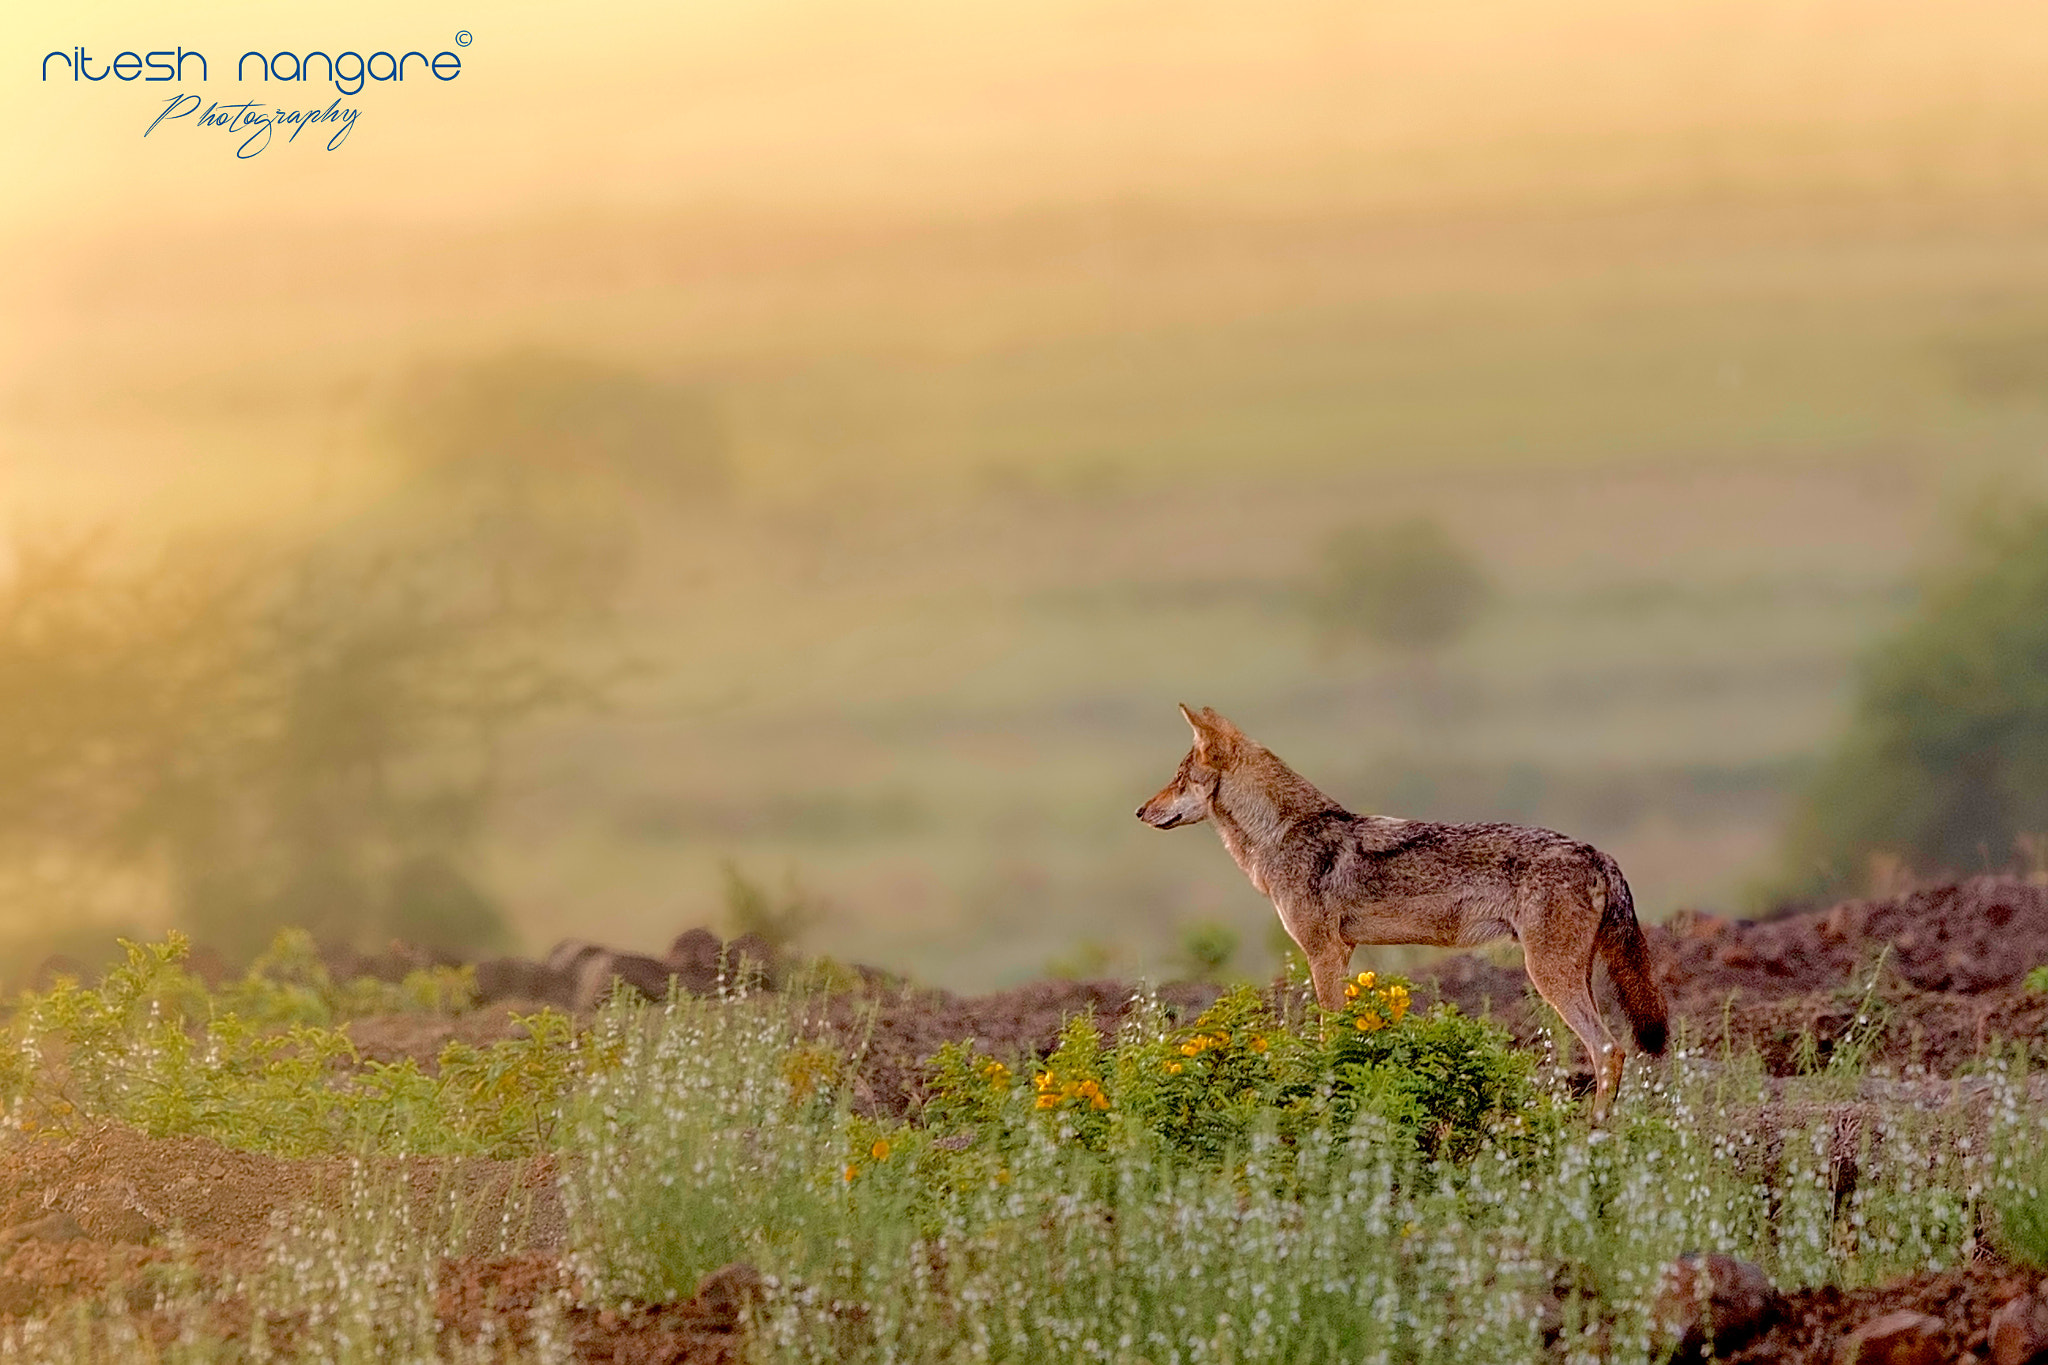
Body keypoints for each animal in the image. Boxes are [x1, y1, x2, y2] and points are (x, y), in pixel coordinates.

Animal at [1138, 703, 1662, 1121]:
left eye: (1179, 779)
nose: (1140, 811)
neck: (1283, 834)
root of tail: (1597, 852)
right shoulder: (1344, 952)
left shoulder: (1322, 953)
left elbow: (1329, 1036)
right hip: (1572, 974)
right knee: (1613, 1051)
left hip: (1549, 975)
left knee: (1609, 1049)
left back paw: (1591, 1135)